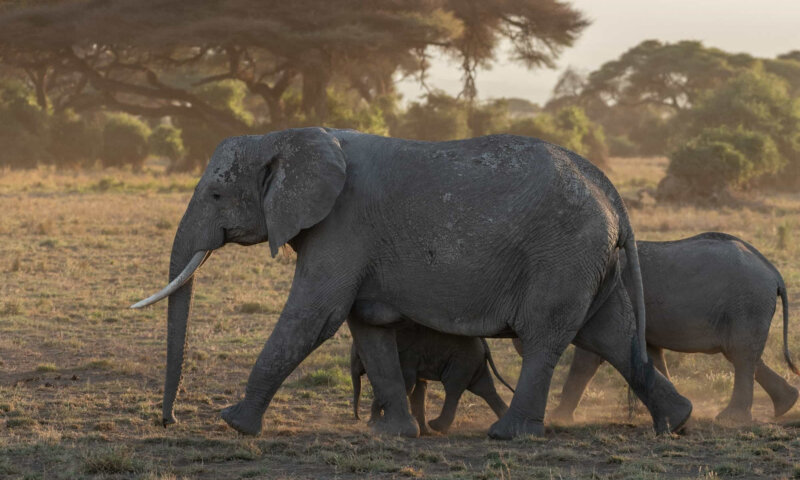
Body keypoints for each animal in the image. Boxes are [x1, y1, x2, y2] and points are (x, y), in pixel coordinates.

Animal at [350, 323, 514, 434]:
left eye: (359, 356)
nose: (358, 419)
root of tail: (484, 343)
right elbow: (418, 388)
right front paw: (424, 432)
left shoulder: (409, 354)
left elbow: (408, 384)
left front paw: (372, 424)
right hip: (475, 363)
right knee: (486, 389)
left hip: (462, 361)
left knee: (453, 389)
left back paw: (436, 426)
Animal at [513, 232, 799, 424]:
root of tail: (773, 272)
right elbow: (651, 353)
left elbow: (589, 359)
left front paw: (557, 419)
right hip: (748, 308)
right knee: (744, 355)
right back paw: (786, 405)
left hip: (747, 303)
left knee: (741, 355)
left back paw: (730, 419)